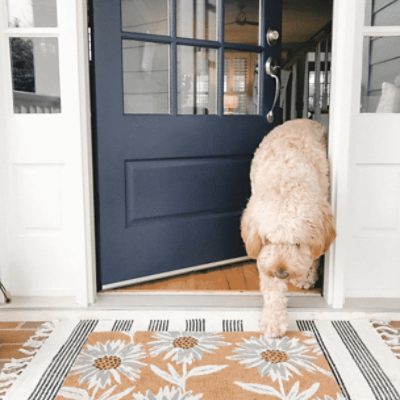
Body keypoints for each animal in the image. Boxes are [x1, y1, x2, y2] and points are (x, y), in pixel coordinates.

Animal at [242, 119, 336, 338]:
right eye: (268, 240)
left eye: (297, 243)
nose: (281, 272)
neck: (286, 180)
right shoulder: (266, 258)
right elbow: (272, 288)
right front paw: (273, 320)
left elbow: (314, 256)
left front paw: (308, 276)